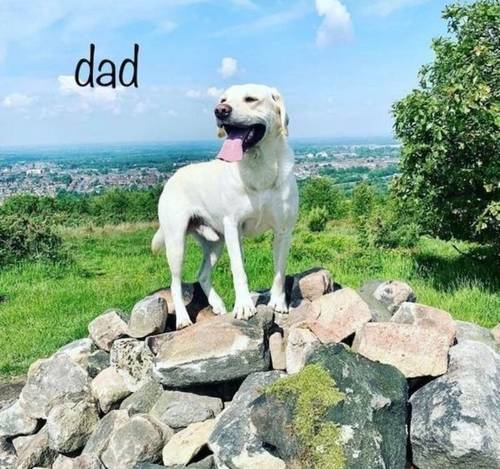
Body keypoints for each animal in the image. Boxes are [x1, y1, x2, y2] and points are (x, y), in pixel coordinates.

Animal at [152, 82, 298, 328]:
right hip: (176, 242)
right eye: (223, 99)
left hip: (215, 243)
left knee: (202, 274)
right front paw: (244, 306)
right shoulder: (233, 228)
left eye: (251, 99)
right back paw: (182, 318)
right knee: (175, 283)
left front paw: (278, 303)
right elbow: (238, 269)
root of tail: (173, 177)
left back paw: (218, 305)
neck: (258, 166)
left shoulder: (283, 230)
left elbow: (279, 269)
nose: (220, 111)